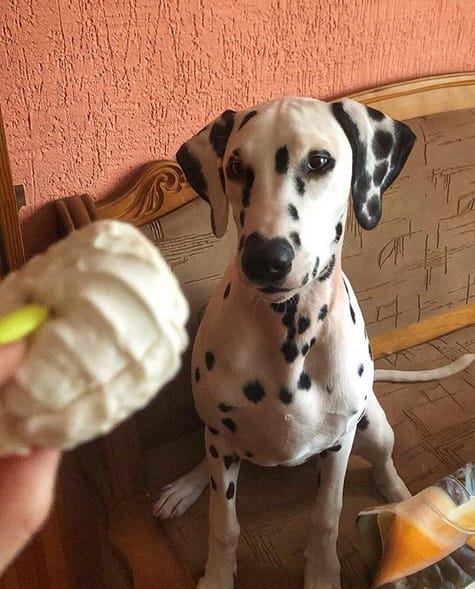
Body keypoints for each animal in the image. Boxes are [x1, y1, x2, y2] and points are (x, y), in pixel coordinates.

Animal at [153, 97, 474, 588]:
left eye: (319, 162)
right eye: (236, 167)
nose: (265, 258)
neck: (288, 332)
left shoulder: (339, 443)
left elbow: (326, 518)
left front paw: (323, 573)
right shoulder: (222, 444)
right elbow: (223, 523)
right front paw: (217, 575)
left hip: (372, 425)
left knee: (384, 460)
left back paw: (399, 496)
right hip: (216, 434)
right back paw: (186, 485)